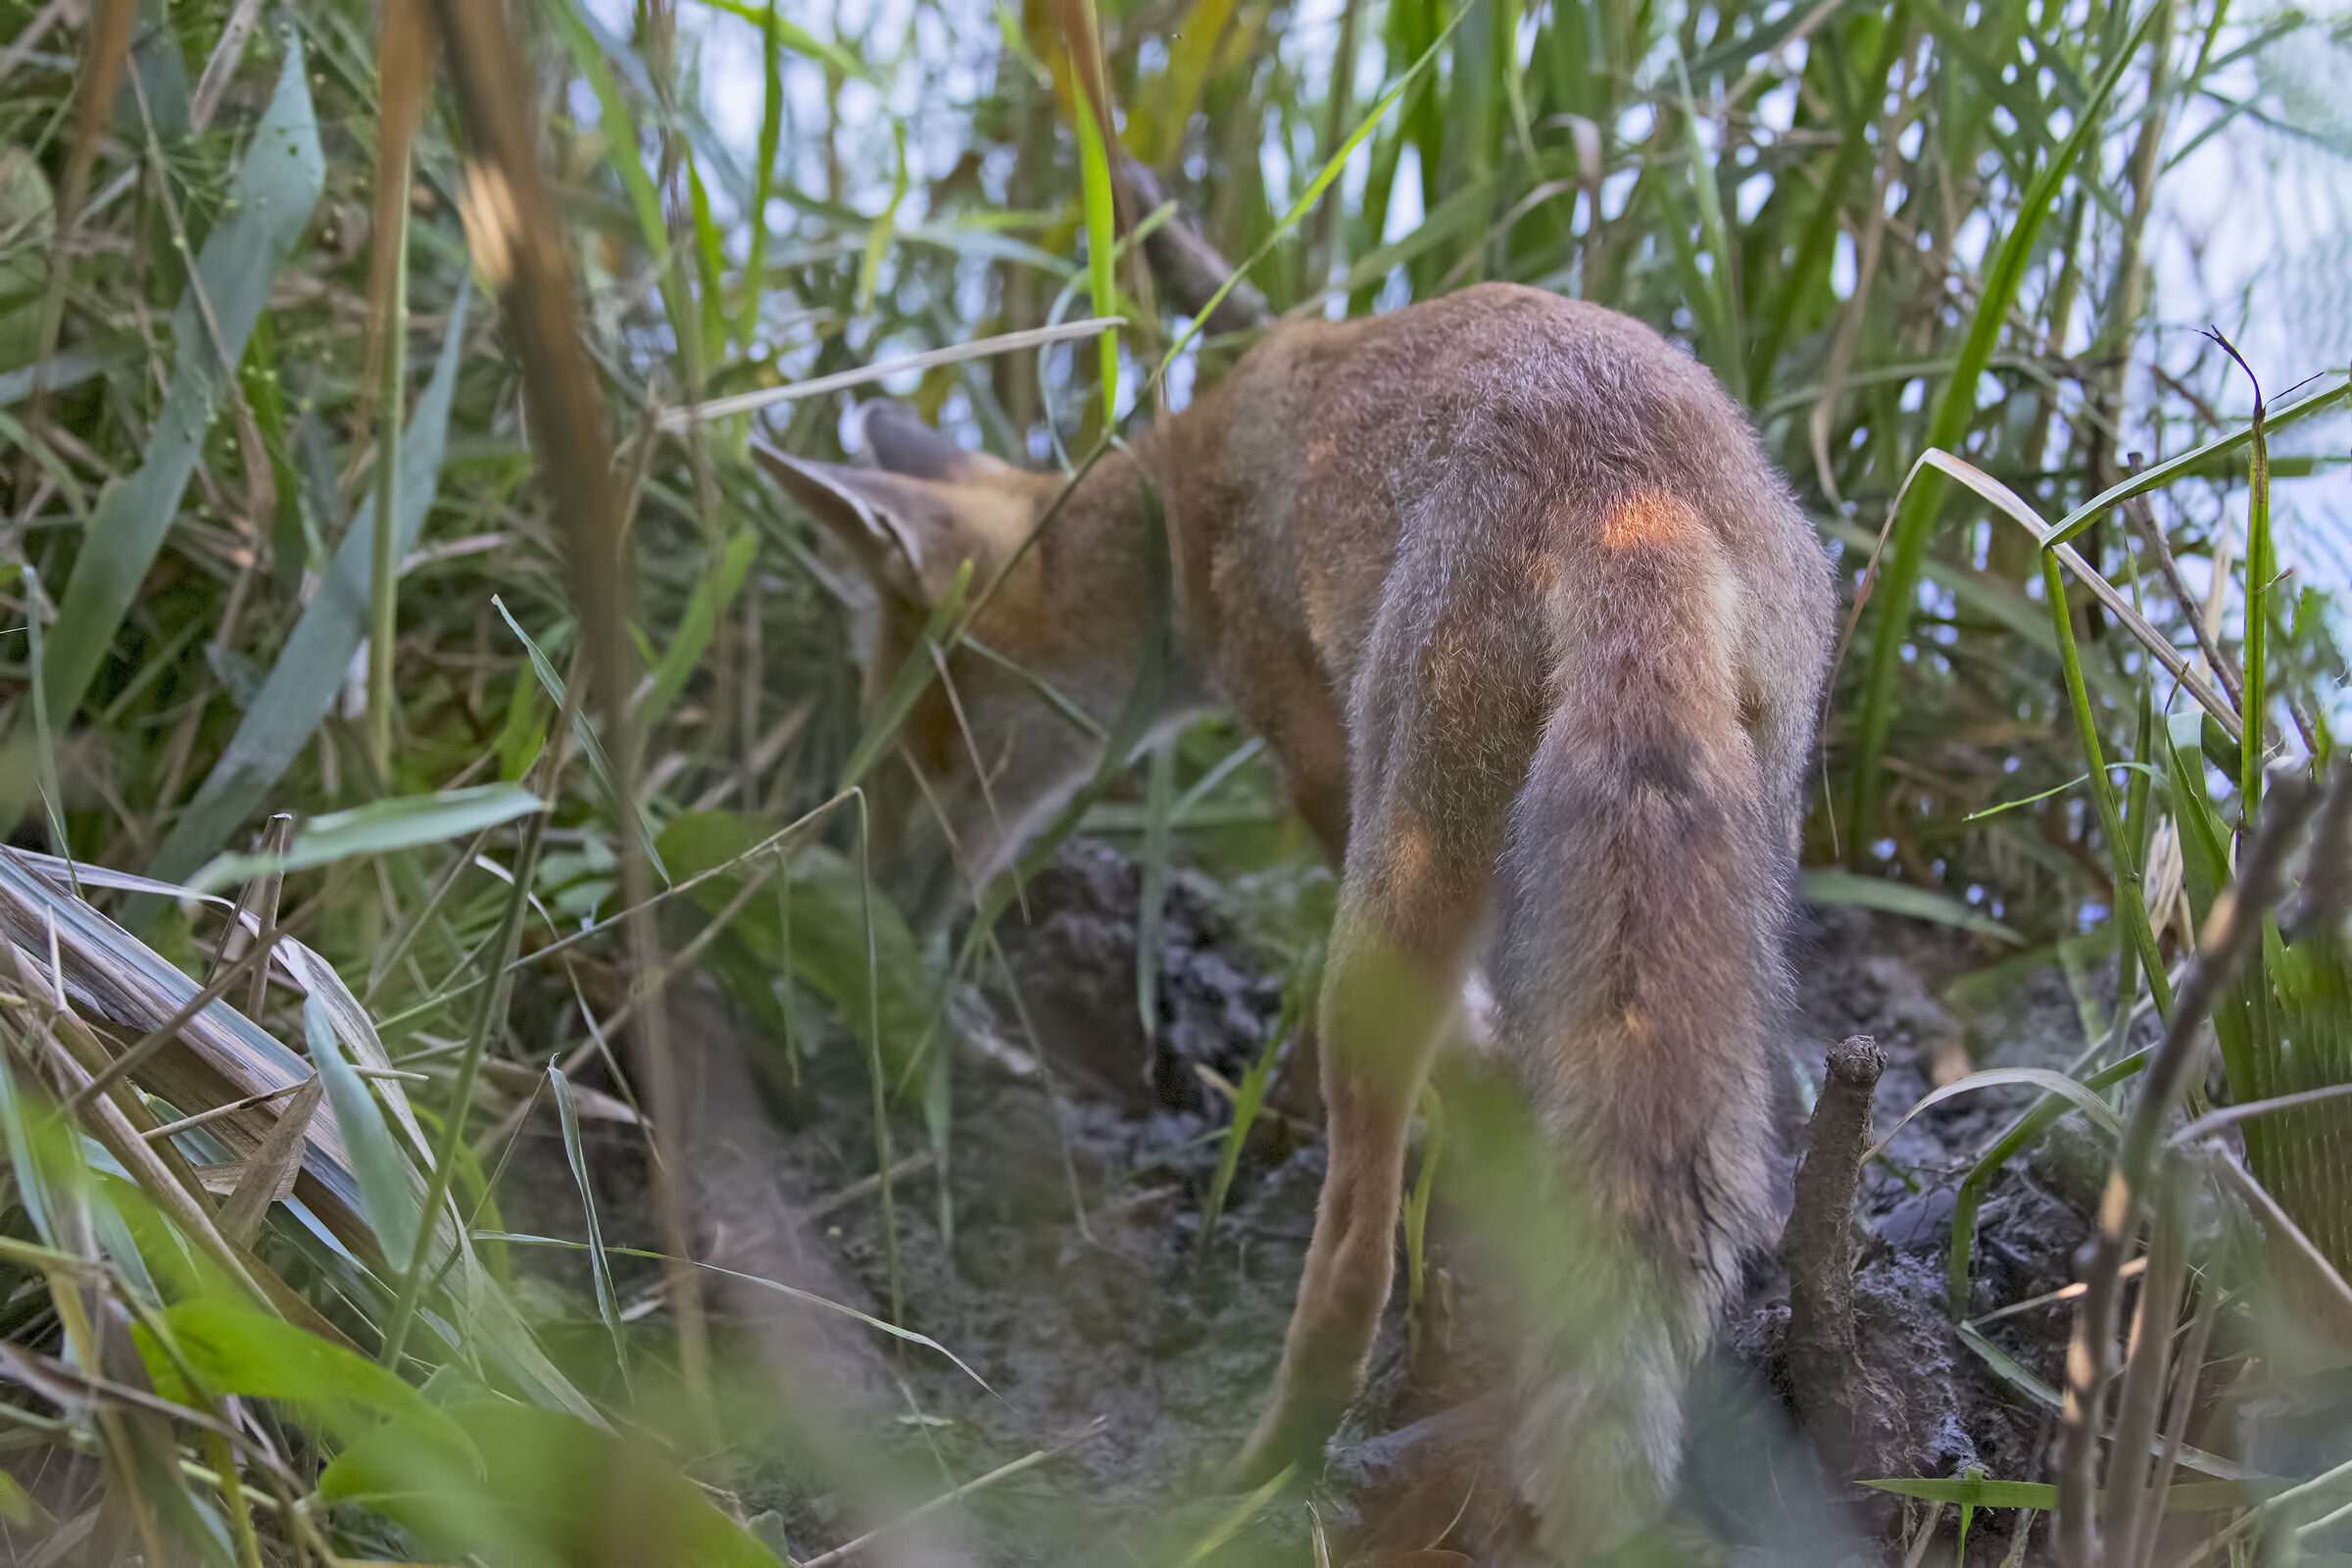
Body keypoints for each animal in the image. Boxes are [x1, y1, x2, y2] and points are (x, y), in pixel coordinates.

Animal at [757, 259, 1834, 1555]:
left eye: (925, 735)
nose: (875, 887)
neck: (1185, 496)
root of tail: (1628, 493)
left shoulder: (1319, 762)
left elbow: (1465, 1033)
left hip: (1384, 908)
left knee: (1352, 1271)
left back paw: (1259, 1474)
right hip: (1746, 867)